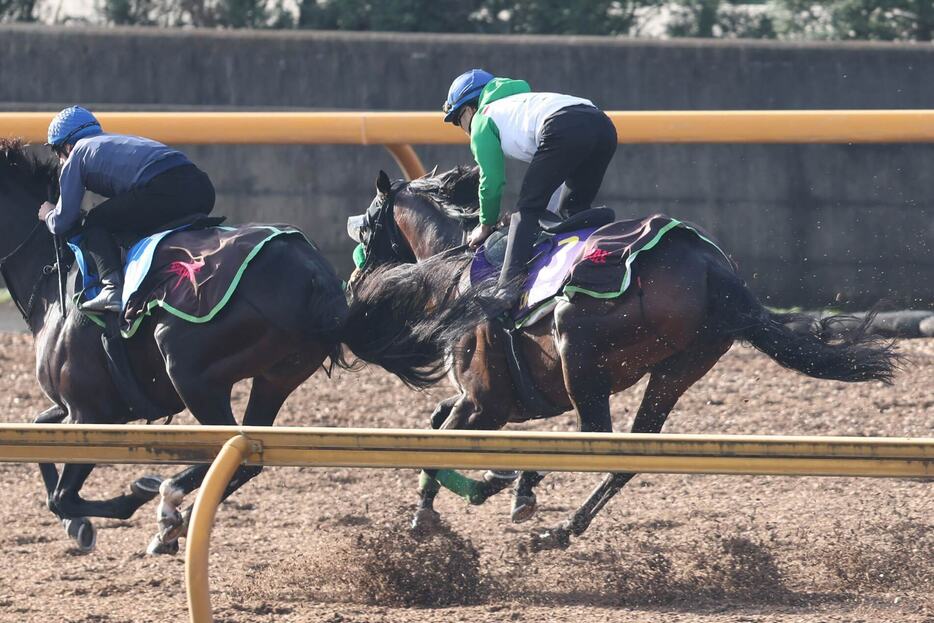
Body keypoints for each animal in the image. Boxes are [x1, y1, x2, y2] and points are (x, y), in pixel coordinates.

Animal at [350, 166, 900, 552]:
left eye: (367, 228)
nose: (355, 280)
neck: (463, 270)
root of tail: (712, 267)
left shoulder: (485, 403)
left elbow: (436, 440)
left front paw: (446, 504)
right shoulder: (492, 404)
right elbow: (436, 421)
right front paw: (475, 491)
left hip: (577, 348)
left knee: (597, 440)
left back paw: (529, 492)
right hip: (677, 370)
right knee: (626, 455)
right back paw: (558, 525)